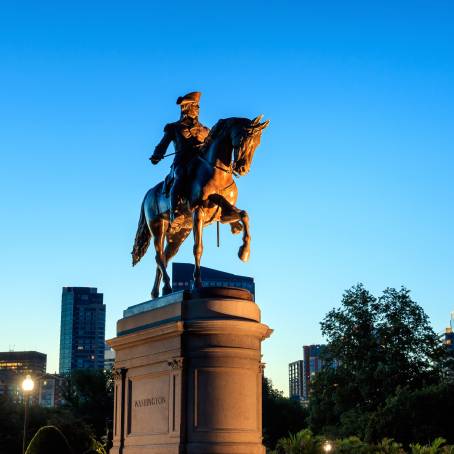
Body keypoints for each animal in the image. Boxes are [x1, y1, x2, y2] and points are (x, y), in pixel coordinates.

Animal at [131, 114, 268, 298]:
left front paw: (244, 251)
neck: (218, 173)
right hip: (158, 226)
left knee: (165, 258)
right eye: (243, 138)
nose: (243, 168)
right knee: (158, 256)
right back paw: (166, 287)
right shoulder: (198, 212)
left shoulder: (223, 215)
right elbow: (198, 248)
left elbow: (244, 214)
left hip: (179, 235)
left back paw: (160, 291)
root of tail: (148, 193)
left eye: (258, 143)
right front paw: (197, 283)